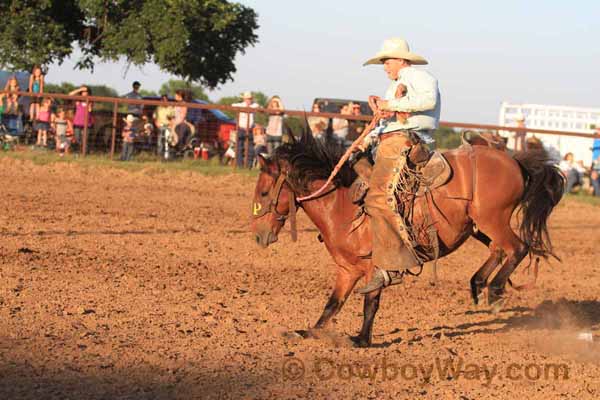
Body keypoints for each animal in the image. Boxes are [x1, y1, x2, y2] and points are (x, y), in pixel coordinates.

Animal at [251, 132, 564, 346]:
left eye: (264, 193)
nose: (258, 235)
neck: (341, 205)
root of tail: (515, 161)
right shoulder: (347, 270)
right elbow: (332, 305)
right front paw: (306, 332)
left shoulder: (374, 268)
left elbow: (370, 302)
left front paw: (360, 340)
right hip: (478, 227)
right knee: (500, 250)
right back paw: (478, 284)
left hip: (492, 219)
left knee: (518, 247)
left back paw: (495, 290)